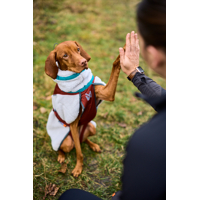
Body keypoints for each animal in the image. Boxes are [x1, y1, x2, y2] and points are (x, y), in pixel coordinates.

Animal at [45, 40, 123, 177]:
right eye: (65, 55)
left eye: (77, 49)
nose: (84, 62)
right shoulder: (73, 122)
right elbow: (79, 152)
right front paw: (78, 168)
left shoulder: (106, 93)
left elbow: (114, 66)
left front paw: (124, 52)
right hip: (66, 141)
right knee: (64, 146)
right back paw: (61, 156)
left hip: (92, 127)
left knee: (84, 140)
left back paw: (93, 145)